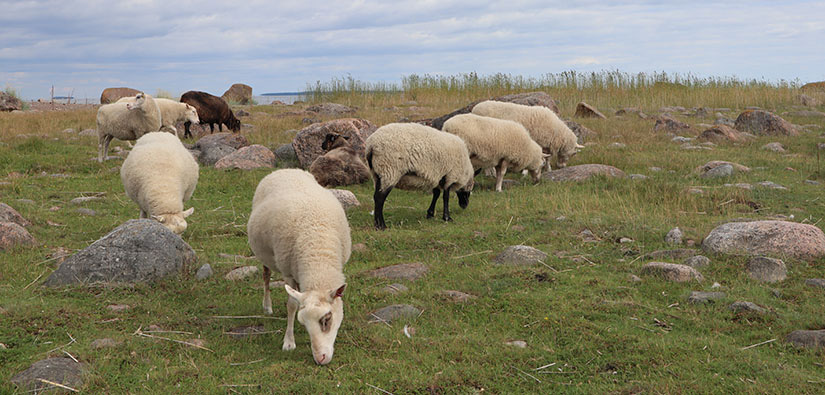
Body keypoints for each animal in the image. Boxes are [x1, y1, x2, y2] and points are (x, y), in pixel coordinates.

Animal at [245, 169, 348, 366]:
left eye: (326, 319)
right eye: (304, 323)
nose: (320, 359)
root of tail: (284, 170)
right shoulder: (287, 273)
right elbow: (292, 306)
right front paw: (289, 342)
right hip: (266, 255)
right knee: (266, 276)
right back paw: (267, 306)